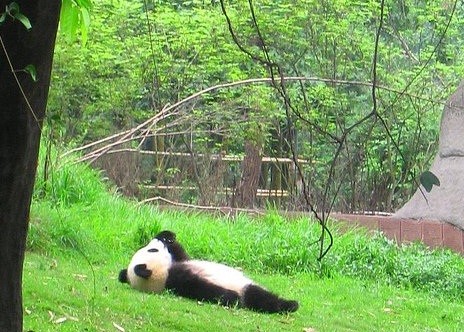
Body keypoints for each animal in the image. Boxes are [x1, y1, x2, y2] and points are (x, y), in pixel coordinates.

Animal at [118, 231, 300, 314]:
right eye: (153, 250)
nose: (155, 241)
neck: (163, 276)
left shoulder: (178, 263)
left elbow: (181, 253)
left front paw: (167, 236)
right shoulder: (176, 279)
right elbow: (202, 288)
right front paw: (231, 298)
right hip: (246, 289)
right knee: (260, 298)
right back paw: (289, 305)